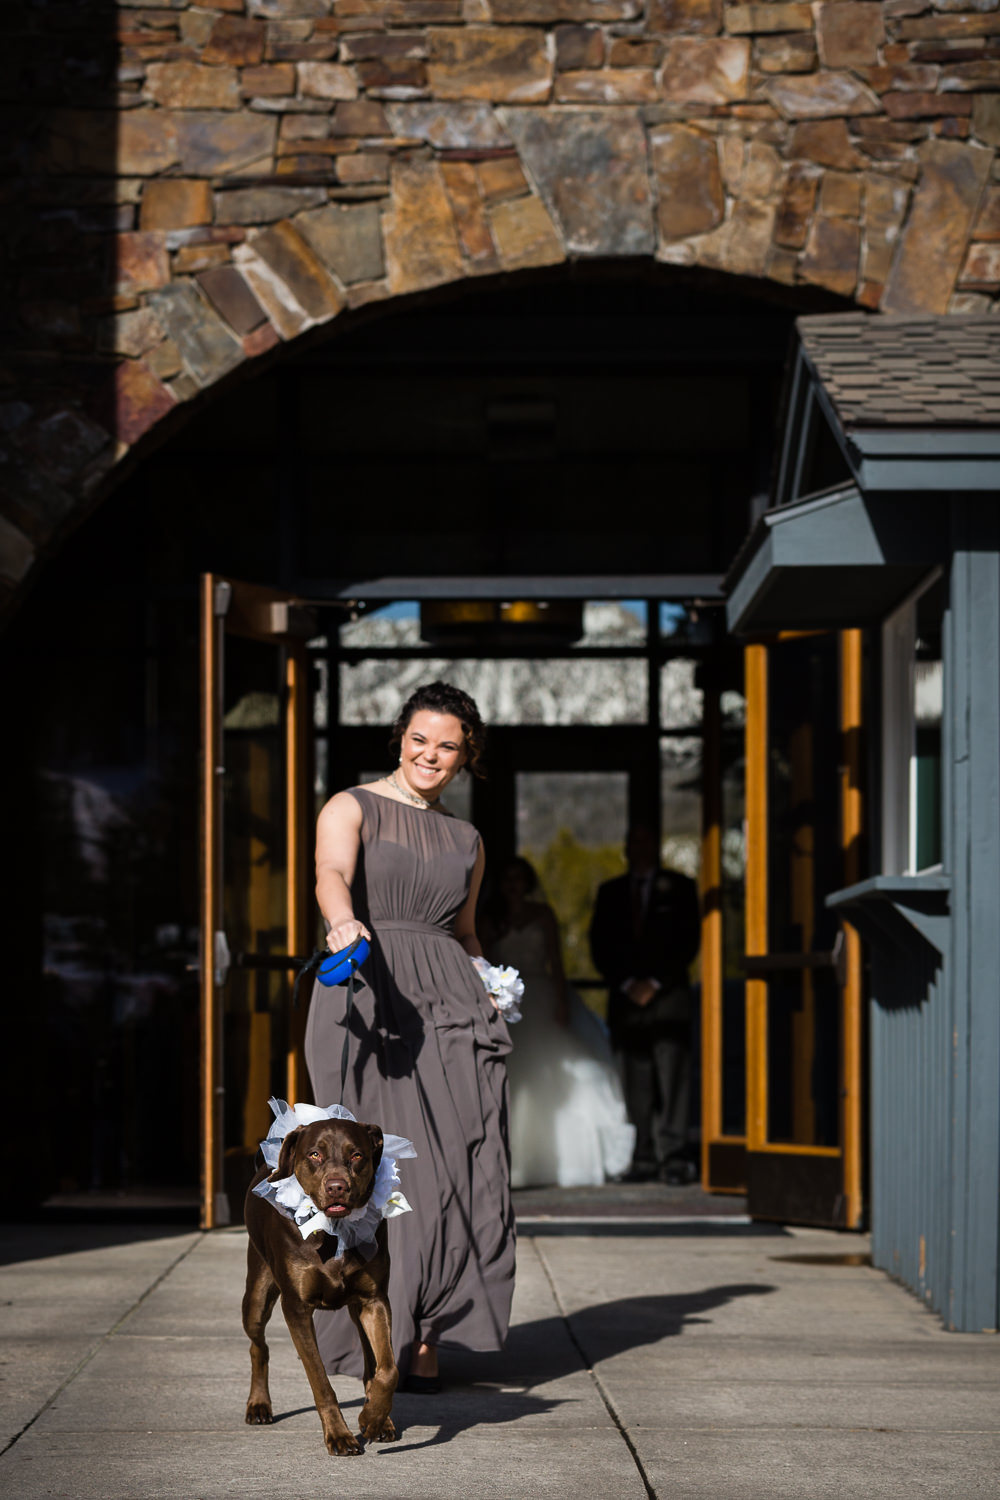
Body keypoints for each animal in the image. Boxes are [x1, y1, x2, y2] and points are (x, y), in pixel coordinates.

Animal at [242, 1116, 398, 1452]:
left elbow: (388, 1368)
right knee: (258, 1345)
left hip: (357, 1308)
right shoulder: (296, 1307)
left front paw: (372, 1419)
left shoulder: (374, 1299)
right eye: (315, 1154)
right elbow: (320, 1380)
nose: (337, 1186)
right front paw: (339, 1435)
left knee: (371, 1361)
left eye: (357, 1155)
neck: (333, 1231)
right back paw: (259, 1405)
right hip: (257, 1294)